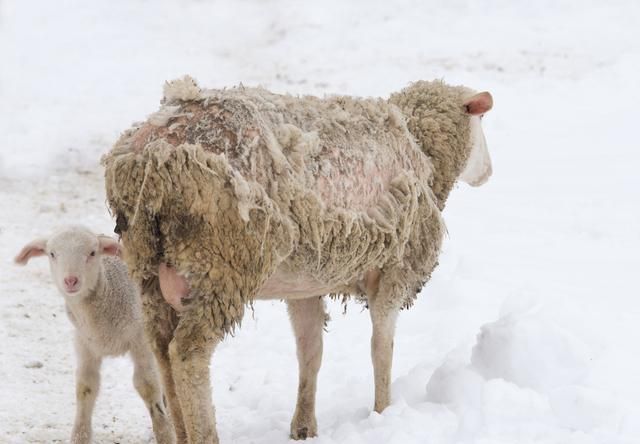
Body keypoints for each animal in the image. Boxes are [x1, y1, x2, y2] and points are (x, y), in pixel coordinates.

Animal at [15, 225, 175, 444]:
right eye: (52, 254)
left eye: (92, 253)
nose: (70, 280)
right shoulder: (85, 344)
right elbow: (86, 387)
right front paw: (79, 436)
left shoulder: (140, 340)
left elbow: (147, 385)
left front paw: (165, 433)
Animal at [101, 77, 496, 444]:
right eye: (480, 121)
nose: (489, 172)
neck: (421, 148)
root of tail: (149, 157)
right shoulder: (394, 269)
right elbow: (381, 347)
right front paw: (384, 412)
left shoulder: (306, 285)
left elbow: (310, 351)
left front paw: (304, 426)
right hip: (222, 264)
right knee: (188, 353)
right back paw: (205, 433)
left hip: (150, 273)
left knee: (161, 348)